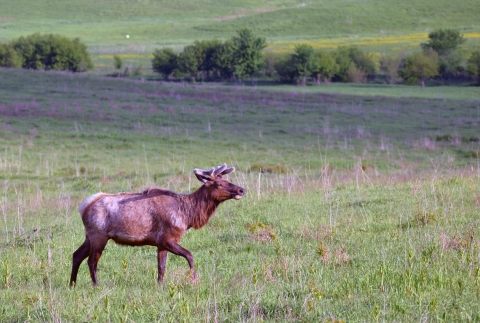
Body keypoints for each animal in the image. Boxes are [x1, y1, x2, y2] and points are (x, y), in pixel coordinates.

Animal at [69, 163, 246, 288]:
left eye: (227, 180)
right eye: (219, 184)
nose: (241, 190)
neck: (187, 216)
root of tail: (84, 206)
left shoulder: (160, 243)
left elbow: (161, 267)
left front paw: (160, 286)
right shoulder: (168, 238)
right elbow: (189, 255)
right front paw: (194, 280)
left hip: (89, 236)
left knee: (76, 255)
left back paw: (72, 284)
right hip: (99, 235)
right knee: (91, 261)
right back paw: (96, 285)